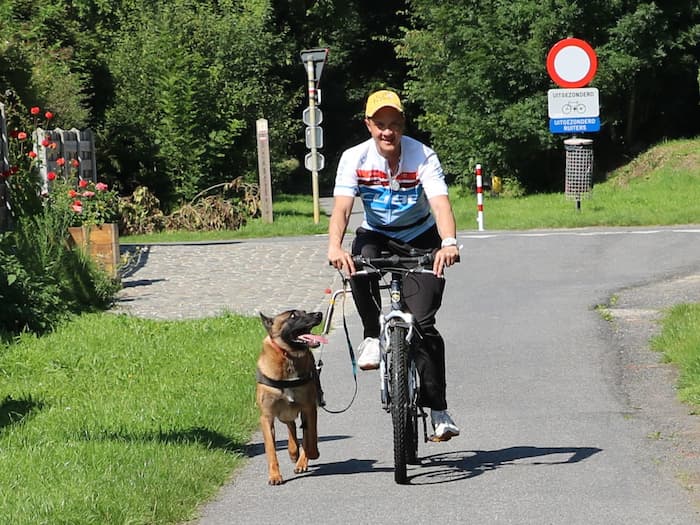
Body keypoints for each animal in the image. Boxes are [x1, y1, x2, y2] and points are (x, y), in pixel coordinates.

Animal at [256, 310, 326, 486]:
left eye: (305, 312)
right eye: (293, 316)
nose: (319, 314)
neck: (287, 357)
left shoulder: (309, 408)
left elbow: (310, 437)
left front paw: (311, 453)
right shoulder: (267, 417)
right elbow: (271, 449)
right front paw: (274, 475)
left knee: (304, 433)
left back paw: (301, 460)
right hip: (283, 414)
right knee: (291, 426)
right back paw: (293, 452)